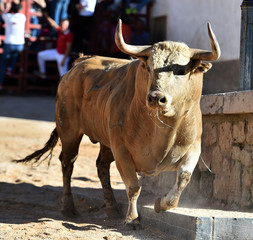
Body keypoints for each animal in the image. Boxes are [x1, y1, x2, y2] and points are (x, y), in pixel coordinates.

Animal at [14, 20, 219, 227]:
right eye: (149, 68)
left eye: (181, 71)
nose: (156, 97)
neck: (162, 130)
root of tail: (79, 63)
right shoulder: (121, 150)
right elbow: (134, 186)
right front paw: (132, 218)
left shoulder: (193, 147)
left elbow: (184, 177)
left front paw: (161, 204)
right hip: (69, 131)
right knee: (68, 164)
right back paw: (68, 208)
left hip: (105, 142)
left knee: (101, 166)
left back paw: (112, 209)